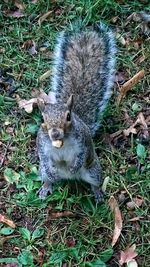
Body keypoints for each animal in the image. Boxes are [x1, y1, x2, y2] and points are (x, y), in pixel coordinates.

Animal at [36, 23, 116, 203]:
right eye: (43, 120)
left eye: (68, 117)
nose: (55, 134)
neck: (62, 143)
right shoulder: (42, 145)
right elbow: (44, 157)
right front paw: (52, 173)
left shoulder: (83, 142)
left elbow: (81, 155)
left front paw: (74, 167)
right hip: (42, 171)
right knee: (47, 177)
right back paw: (46, 187)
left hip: (93, 170)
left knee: (95, 182)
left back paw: (97, 193)